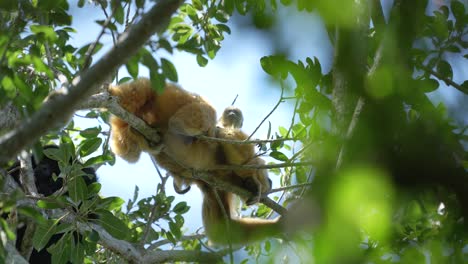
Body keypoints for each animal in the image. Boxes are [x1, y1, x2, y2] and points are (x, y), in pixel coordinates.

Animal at [109, 78, 282, 245]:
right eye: (230, 112)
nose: (232, 113)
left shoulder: (214, 188)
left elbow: (225, 232)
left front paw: (281, 224)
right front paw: (256, 179)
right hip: (177, 97)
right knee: (215, 124)